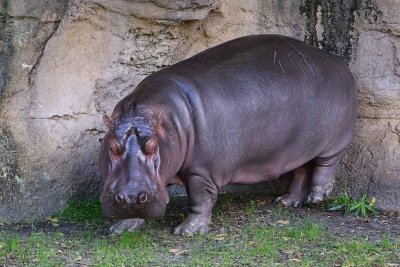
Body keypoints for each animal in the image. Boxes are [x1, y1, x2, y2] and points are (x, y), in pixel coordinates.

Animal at [99, 34, 356, 237]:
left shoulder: (202, 172)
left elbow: (200, 199)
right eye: (111, 147)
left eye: (153, 146)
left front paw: (188, 231)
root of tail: (338, 60)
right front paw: (121, 228)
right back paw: (286, 201)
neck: (168, 121)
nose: (131, 197)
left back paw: (317, 197)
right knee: (301, 170)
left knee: (325, 166)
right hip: (298, 148)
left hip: (333, 143)